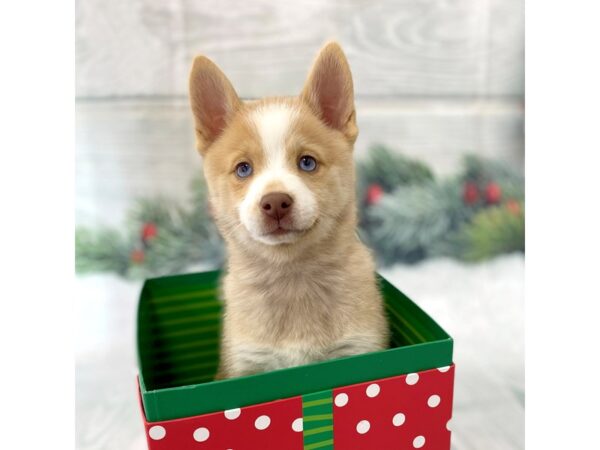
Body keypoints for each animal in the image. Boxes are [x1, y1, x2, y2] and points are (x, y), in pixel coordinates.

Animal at [188, 43, 390, 380]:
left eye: (307, 162)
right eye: (243, 169)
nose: (275, 202)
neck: (292, 278)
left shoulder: (359, 347)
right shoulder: (244, 363)